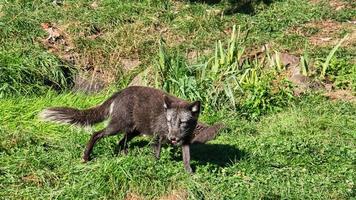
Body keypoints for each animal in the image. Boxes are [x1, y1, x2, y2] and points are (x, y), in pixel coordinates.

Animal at [39, 85, 222, 172]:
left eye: (183, 122)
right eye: (169, 121)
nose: (172, 138)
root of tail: (119, 92)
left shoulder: (185, 142)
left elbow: (187, 159)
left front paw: (190, 173)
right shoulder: (157, 138)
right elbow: (156, 156)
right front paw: (154, 168)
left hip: (133, 131)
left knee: (121, 142)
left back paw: (124, 157)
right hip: (117, 127)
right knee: (96, 134)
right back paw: (86, 156)